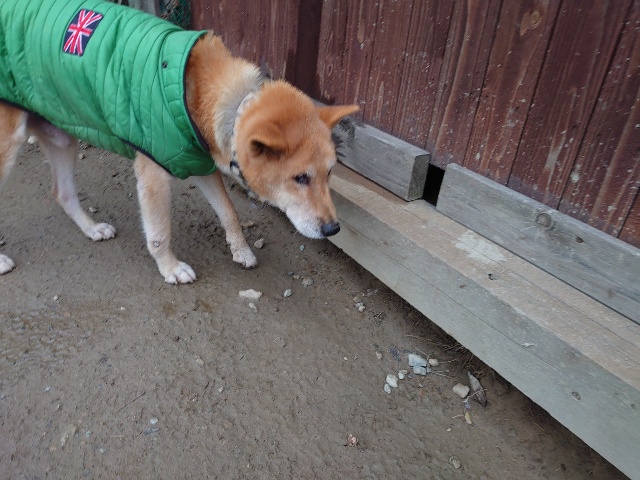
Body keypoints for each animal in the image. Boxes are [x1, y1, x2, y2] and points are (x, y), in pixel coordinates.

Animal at [0, 0, 358, 283]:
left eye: (329, 174)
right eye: (300, 178)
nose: (333, 230)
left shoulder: (200, 164)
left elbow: (229, 213)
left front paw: (241, 250)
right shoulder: (154, 174)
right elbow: (160, 233)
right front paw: (170, 268)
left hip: (61, 139)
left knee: (62, 194)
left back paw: (91, 229)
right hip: (8, 148)